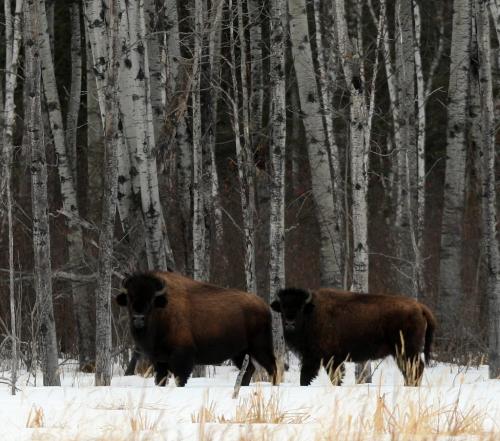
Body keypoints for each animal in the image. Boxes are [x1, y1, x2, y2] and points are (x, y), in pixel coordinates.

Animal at [115, 270, 278, 386]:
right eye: (129, 297)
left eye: (151, 300)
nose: (138, 318)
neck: (163, 309)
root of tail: (264, 306)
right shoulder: (159, 361)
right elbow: (160, 380)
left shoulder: (181, 357)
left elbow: (180, 379)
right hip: (239, 353)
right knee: (249, 369)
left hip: (260, 347)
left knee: (271, 366)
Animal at [270, 286, 438, 384]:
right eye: (283, 307)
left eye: (300, 307)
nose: (290, 323)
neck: (312, 312)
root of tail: (420, 307)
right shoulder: (319, 358)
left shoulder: (325, 358)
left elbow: (313, 376)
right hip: (401, 353)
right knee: (409, 371)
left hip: (407, 351)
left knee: (416, 369)